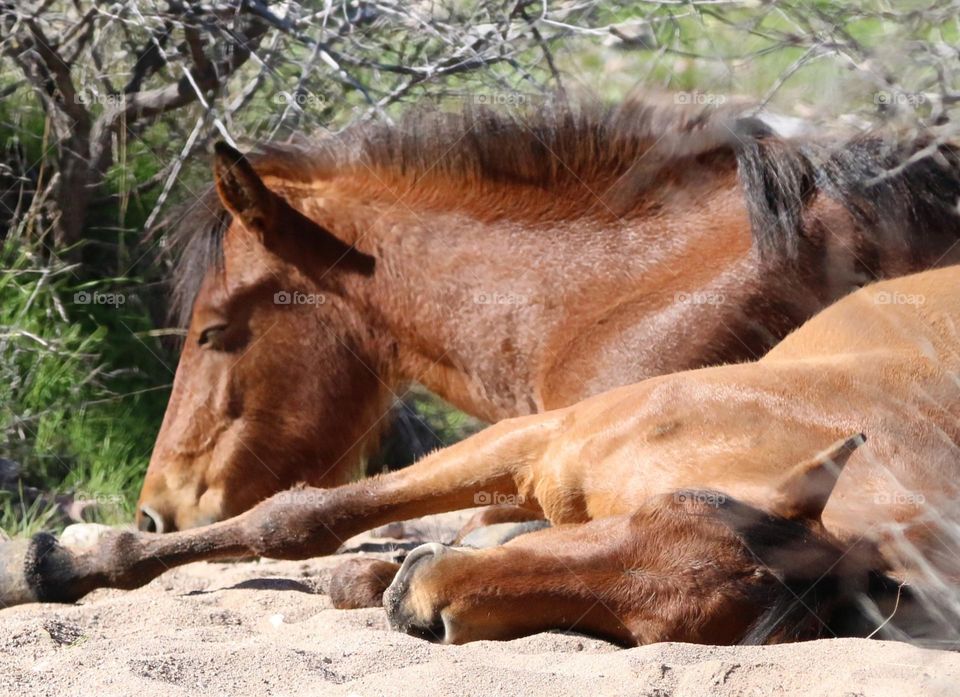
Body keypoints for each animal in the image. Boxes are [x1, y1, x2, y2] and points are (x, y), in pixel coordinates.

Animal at [5, 266, 960, 648]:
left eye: (642, 632)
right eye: (666, 508)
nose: (423, 601)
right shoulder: (534, 438)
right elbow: (299, 515)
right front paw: (52, 568)